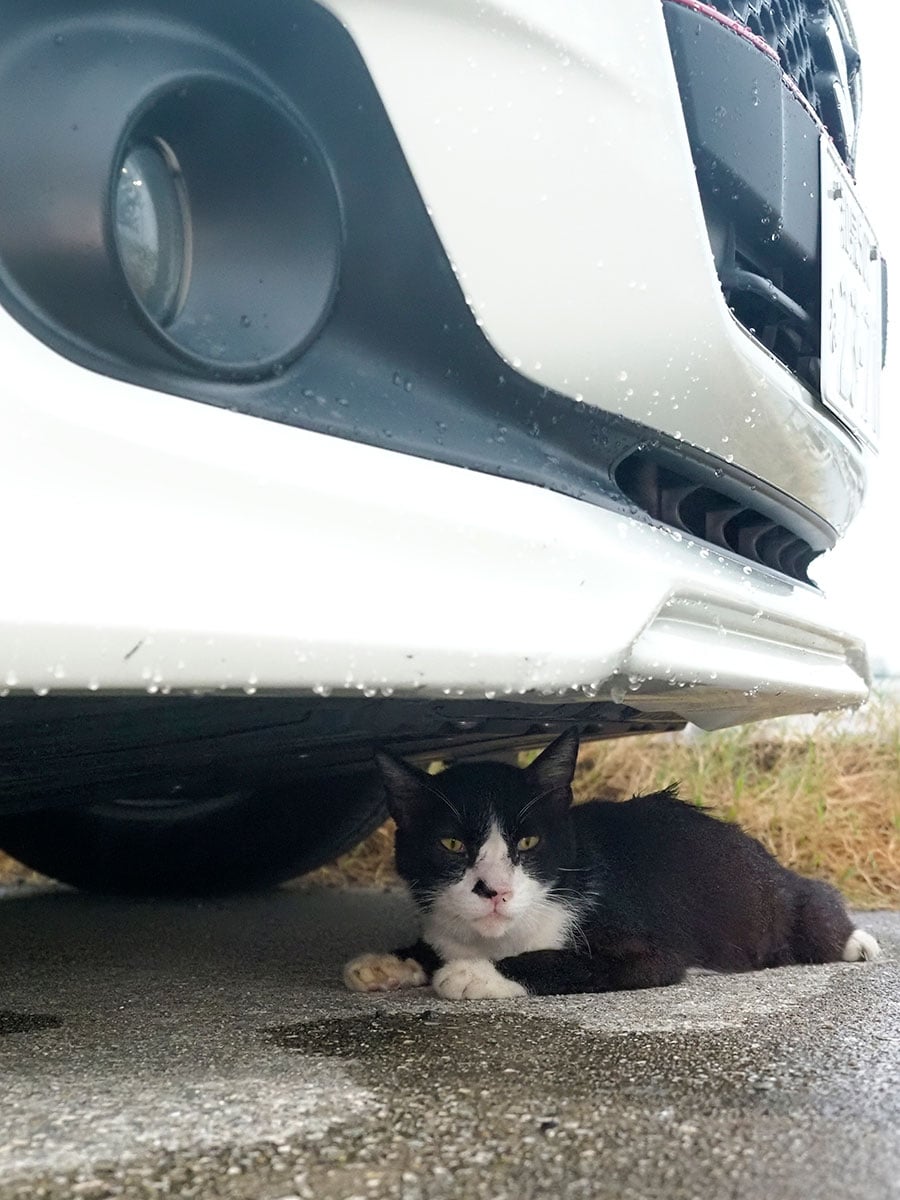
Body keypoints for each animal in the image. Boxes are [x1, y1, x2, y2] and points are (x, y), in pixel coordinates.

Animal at [343, 724, 883, 998]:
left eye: (529, 842)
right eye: (452, 846)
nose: (495, 890)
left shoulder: (650, 952)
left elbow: (569, 962)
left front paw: (477, 974)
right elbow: (435, 945)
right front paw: (392, 961)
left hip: (789, 907)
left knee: (820, 911)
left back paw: (859, 942)